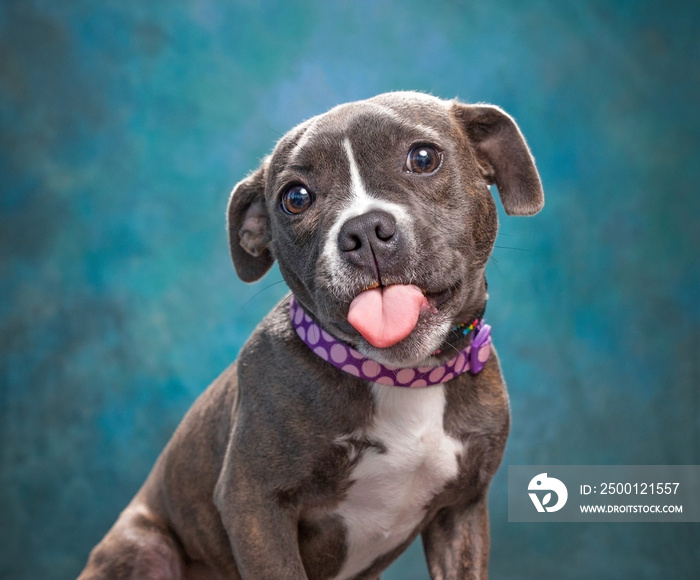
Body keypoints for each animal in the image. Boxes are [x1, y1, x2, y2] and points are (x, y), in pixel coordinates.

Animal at [79, 90, 544, 580]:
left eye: (423, 158)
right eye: (296, 198)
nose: (365, 229)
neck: (401, 377)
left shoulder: (462, 511)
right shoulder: (255, 506)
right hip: (147, 548)